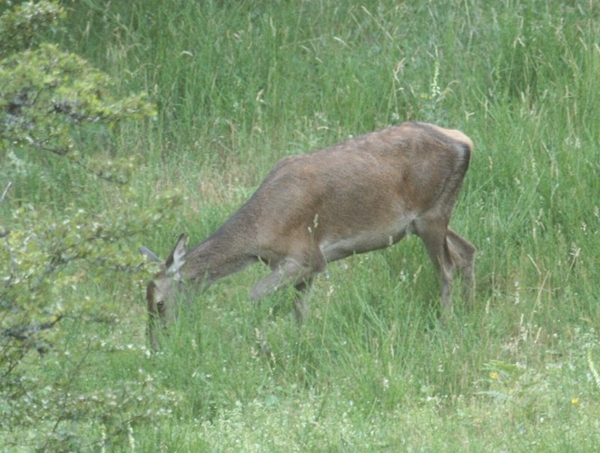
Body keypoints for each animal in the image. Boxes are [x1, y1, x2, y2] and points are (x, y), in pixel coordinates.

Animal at [138, 119, 476, 346]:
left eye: (159, 303)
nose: (156, 344)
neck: (257, 237)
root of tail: (464, 140)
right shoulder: (304, 266)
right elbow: (300, 309)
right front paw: (301, 343)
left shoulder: (306, 256)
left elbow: (254, 294)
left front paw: (260, 343)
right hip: (429, 218)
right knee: (466, 251)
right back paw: (467, 311)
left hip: (431, 213)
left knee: (446, 268)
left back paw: (446, 322)